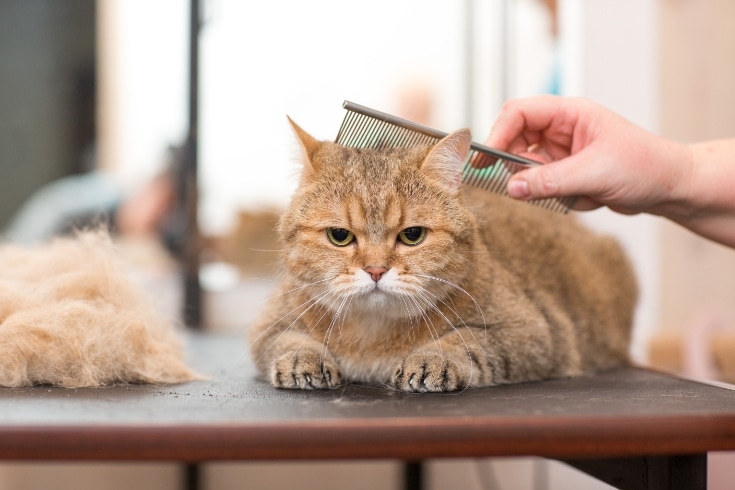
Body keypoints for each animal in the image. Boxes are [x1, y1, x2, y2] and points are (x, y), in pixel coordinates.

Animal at [249, 119, 640, 394]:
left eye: (412, 235)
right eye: (339, 236)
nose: (375, 270)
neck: (372, 337)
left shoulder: (536, 331)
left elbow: (466, 340)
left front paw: (432, 357)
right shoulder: (268, 324)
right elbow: (287, 339)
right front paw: (303, 357)